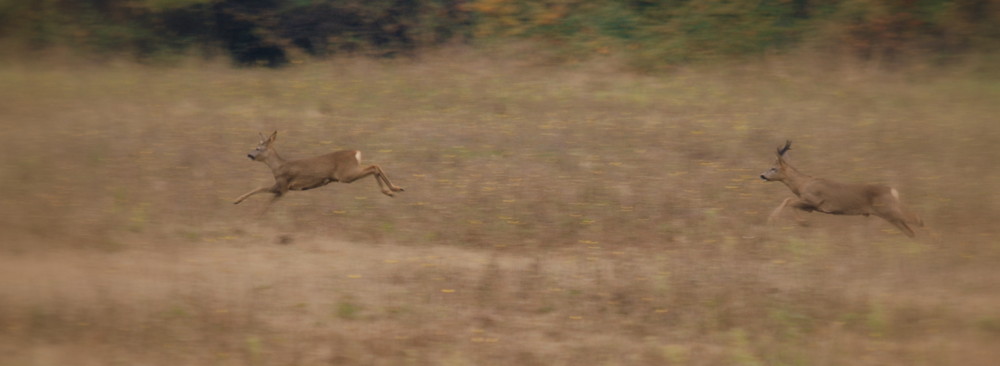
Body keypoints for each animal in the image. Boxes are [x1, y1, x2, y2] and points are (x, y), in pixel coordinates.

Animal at [233, 132, 402, 209]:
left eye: (257, 148)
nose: (249, 154)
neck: (278, 166)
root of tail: (356, 152)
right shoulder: (283, 189)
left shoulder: (283, 185)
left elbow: (260, 188)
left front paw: (237, 201)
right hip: (349, 173)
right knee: (375, 166)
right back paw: (394, 190)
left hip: (346, 175)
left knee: (374, 166)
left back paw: (392, 189)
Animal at [760, 140, 924, 237]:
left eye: (773, 168)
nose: (762, 175)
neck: (802, 184)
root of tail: (892, 191)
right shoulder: (811, 206)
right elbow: (791, 201)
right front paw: (802, 222)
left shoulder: (815, 200)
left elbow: (788, 200)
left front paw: (773, 219)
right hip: (889, 214)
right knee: (910, 230)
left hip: (889, 210)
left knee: (917, 219)